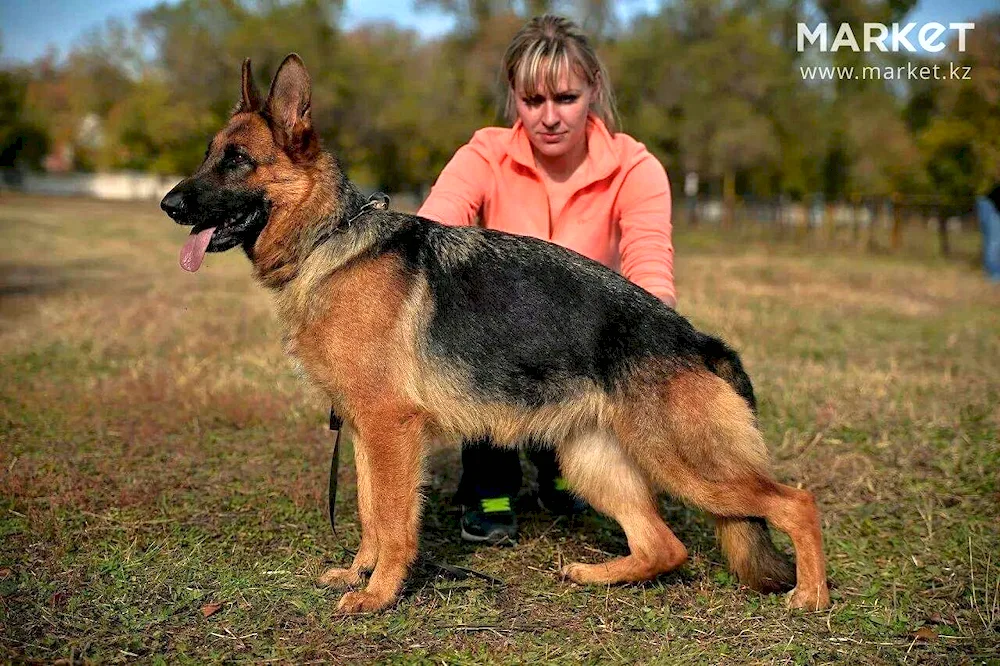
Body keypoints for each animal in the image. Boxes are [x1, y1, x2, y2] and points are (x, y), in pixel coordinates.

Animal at [158, 54, 828, 608]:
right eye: (208, 154)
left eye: (236, 161)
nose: (168, 205)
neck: (330, 239)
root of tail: (701, 343)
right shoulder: (367, 432)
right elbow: (371, 512)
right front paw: (358, 575)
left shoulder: (390, 429)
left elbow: (394, 522)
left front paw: (378, 595)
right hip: (594, 460)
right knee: (666, 545)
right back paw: (594, 574)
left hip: (684, 463)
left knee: (797, 502)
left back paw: (811, 597)